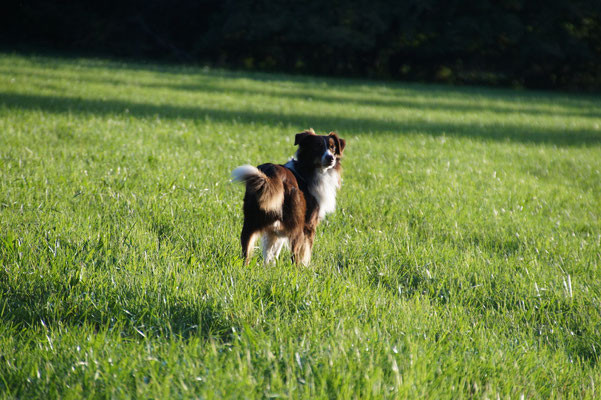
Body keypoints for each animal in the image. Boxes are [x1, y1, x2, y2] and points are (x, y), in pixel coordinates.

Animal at [233, 129, 346, 266]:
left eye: (332, 147)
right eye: (317, 147)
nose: (331, 158)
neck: (308, 169)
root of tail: (272, 173)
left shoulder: (275, 228)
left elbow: (272, 250)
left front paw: (269, 267)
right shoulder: (309, 224)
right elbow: (306, 251)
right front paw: (306, 266)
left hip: (251, 220)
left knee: (246, 249)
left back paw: (245, 266)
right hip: (297, 222)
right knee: (294, 254)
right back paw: (297, 269)